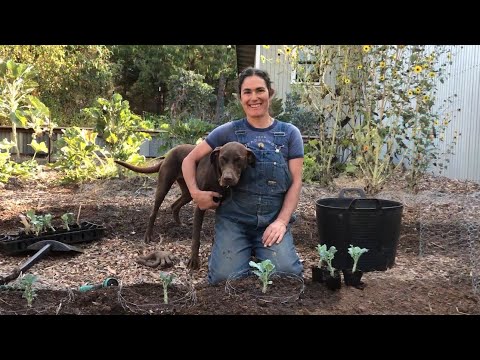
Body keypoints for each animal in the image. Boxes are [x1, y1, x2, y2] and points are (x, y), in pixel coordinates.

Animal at [115, 142, 255, 268]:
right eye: (222, 159)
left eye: (238, 160)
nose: (227, 178)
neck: (217, 176)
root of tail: (169, 153)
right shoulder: (200, 205)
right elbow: (196, 238)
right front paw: (193, 261)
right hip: (164, 186)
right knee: (153, 212)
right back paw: (148, 235)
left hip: (188, 192)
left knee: (174, 205)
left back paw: (179, 224)